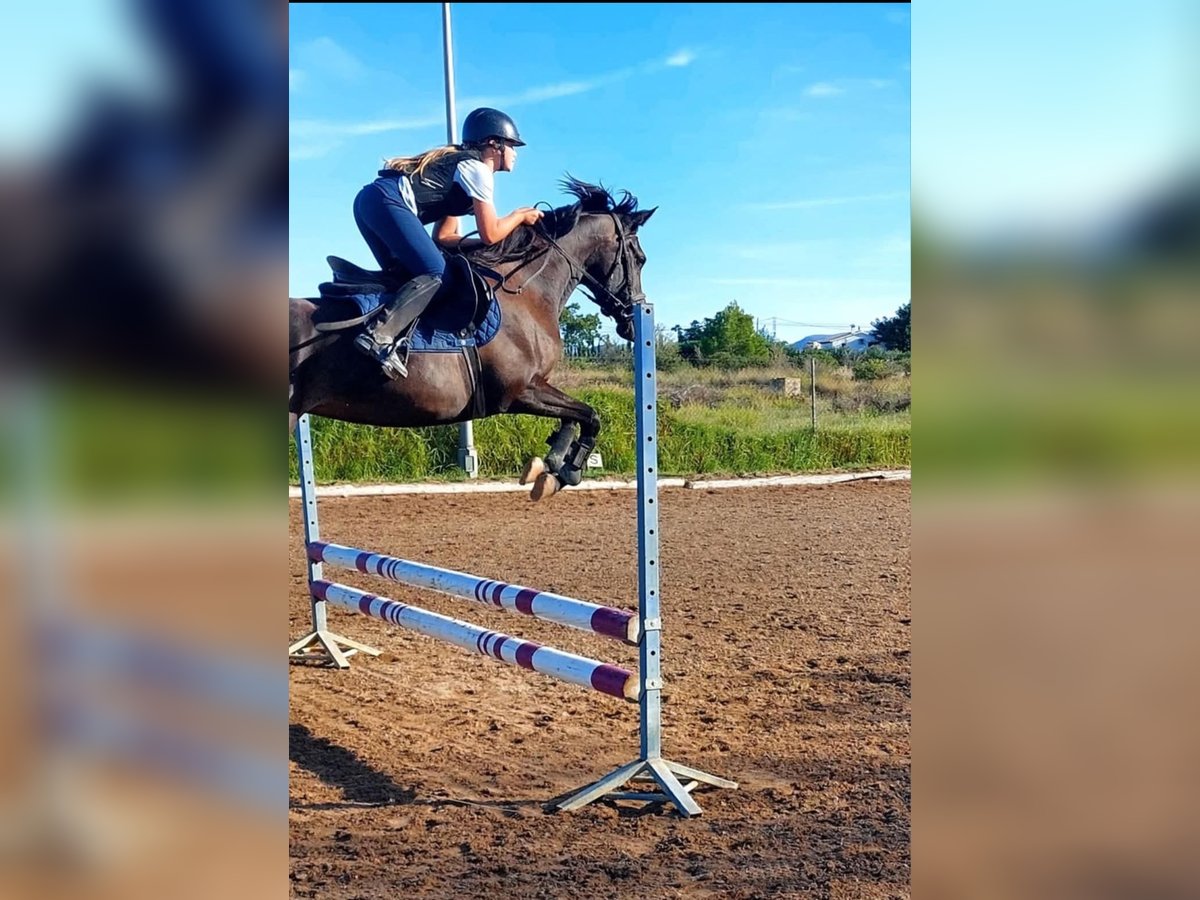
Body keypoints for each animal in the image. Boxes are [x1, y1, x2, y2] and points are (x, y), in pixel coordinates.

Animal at [288, 177, 655, 500]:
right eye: (640, 259)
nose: (633, 322)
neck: (527, 292)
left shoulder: (535, 387)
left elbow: (576, 417)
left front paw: (549, 465)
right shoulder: (519, 391)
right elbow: (590, 415)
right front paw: (567, 471)